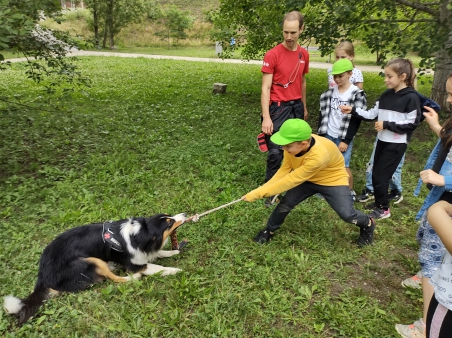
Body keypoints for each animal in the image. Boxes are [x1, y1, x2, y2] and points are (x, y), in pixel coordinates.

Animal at [4, 213, 186, 326]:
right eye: (169, 222)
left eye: (169, 217)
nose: (184, 214)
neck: (139, 234)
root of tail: (42, 278)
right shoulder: (134, 264)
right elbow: (155, 267)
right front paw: (174, 270)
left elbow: (159, 253)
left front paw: (173, 251)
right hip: (91, 260)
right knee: (116, 279)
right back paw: (131, 277)